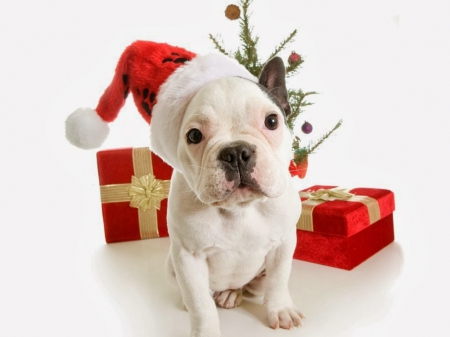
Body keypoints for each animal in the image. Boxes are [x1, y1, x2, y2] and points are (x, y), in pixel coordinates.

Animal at [153, 56, 304, 334]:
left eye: (272, 121)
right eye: (194, 135)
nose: (235, 152)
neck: (239, 209)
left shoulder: (284, 244)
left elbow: (278, 280)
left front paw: (281, 309)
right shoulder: (187, 258)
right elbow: (200, 305)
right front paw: (205, 332)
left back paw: (233, 293)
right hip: (171, 266)